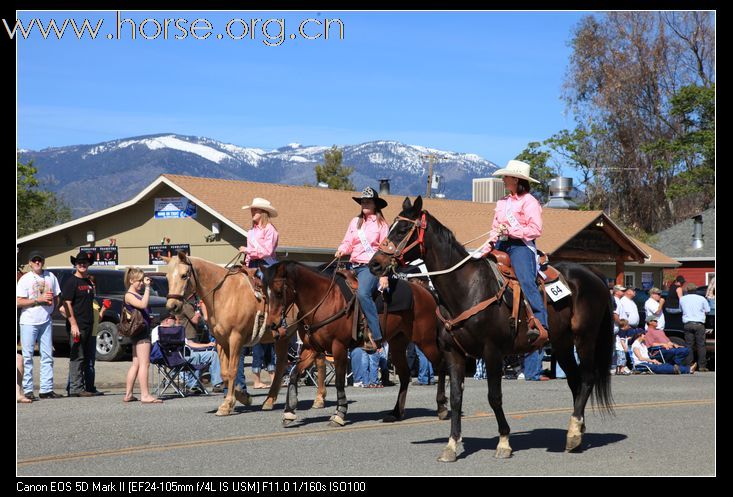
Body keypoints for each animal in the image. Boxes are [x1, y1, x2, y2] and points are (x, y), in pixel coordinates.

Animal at [164, 252, 318, 414]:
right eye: (167, 277)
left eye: (184, 275)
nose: (172, 306)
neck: (224, 295)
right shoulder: (221, 341)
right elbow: (224, 373)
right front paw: (243, 397)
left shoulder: (236, 338)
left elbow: (233, 370)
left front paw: (227, 404)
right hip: (283, 337)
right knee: (282, 365)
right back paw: (269, 401)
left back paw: (318, 399)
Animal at [264, 260, 446, 426]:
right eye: (265, 292)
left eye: (279, 292)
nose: (271, 324)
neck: (323, 301)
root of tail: (426, 292)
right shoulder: (311, 348)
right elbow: (294, 374)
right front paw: (289, 411)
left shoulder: (339, 347)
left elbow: (338, 381)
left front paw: (339, 414)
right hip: (398, 344)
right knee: (405, 375)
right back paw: (396, 413)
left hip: (426, 341)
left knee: (440, 365)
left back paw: (442, 408)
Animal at [368, 197, 616, 462]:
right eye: (390, 227)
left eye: (403, 230)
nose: (374, 264)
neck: (466, 288)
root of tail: (593, 273)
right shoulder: (453, 352)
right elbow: (456, 398)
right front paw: (452, 445)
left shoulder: (492, 352)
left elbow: (494, 397)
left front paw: (504, 442)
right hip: (562, 343)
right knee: (575, 381)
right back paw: (576, 431)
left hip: (585, 338)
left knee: (587, 379)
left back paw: (574, 432)